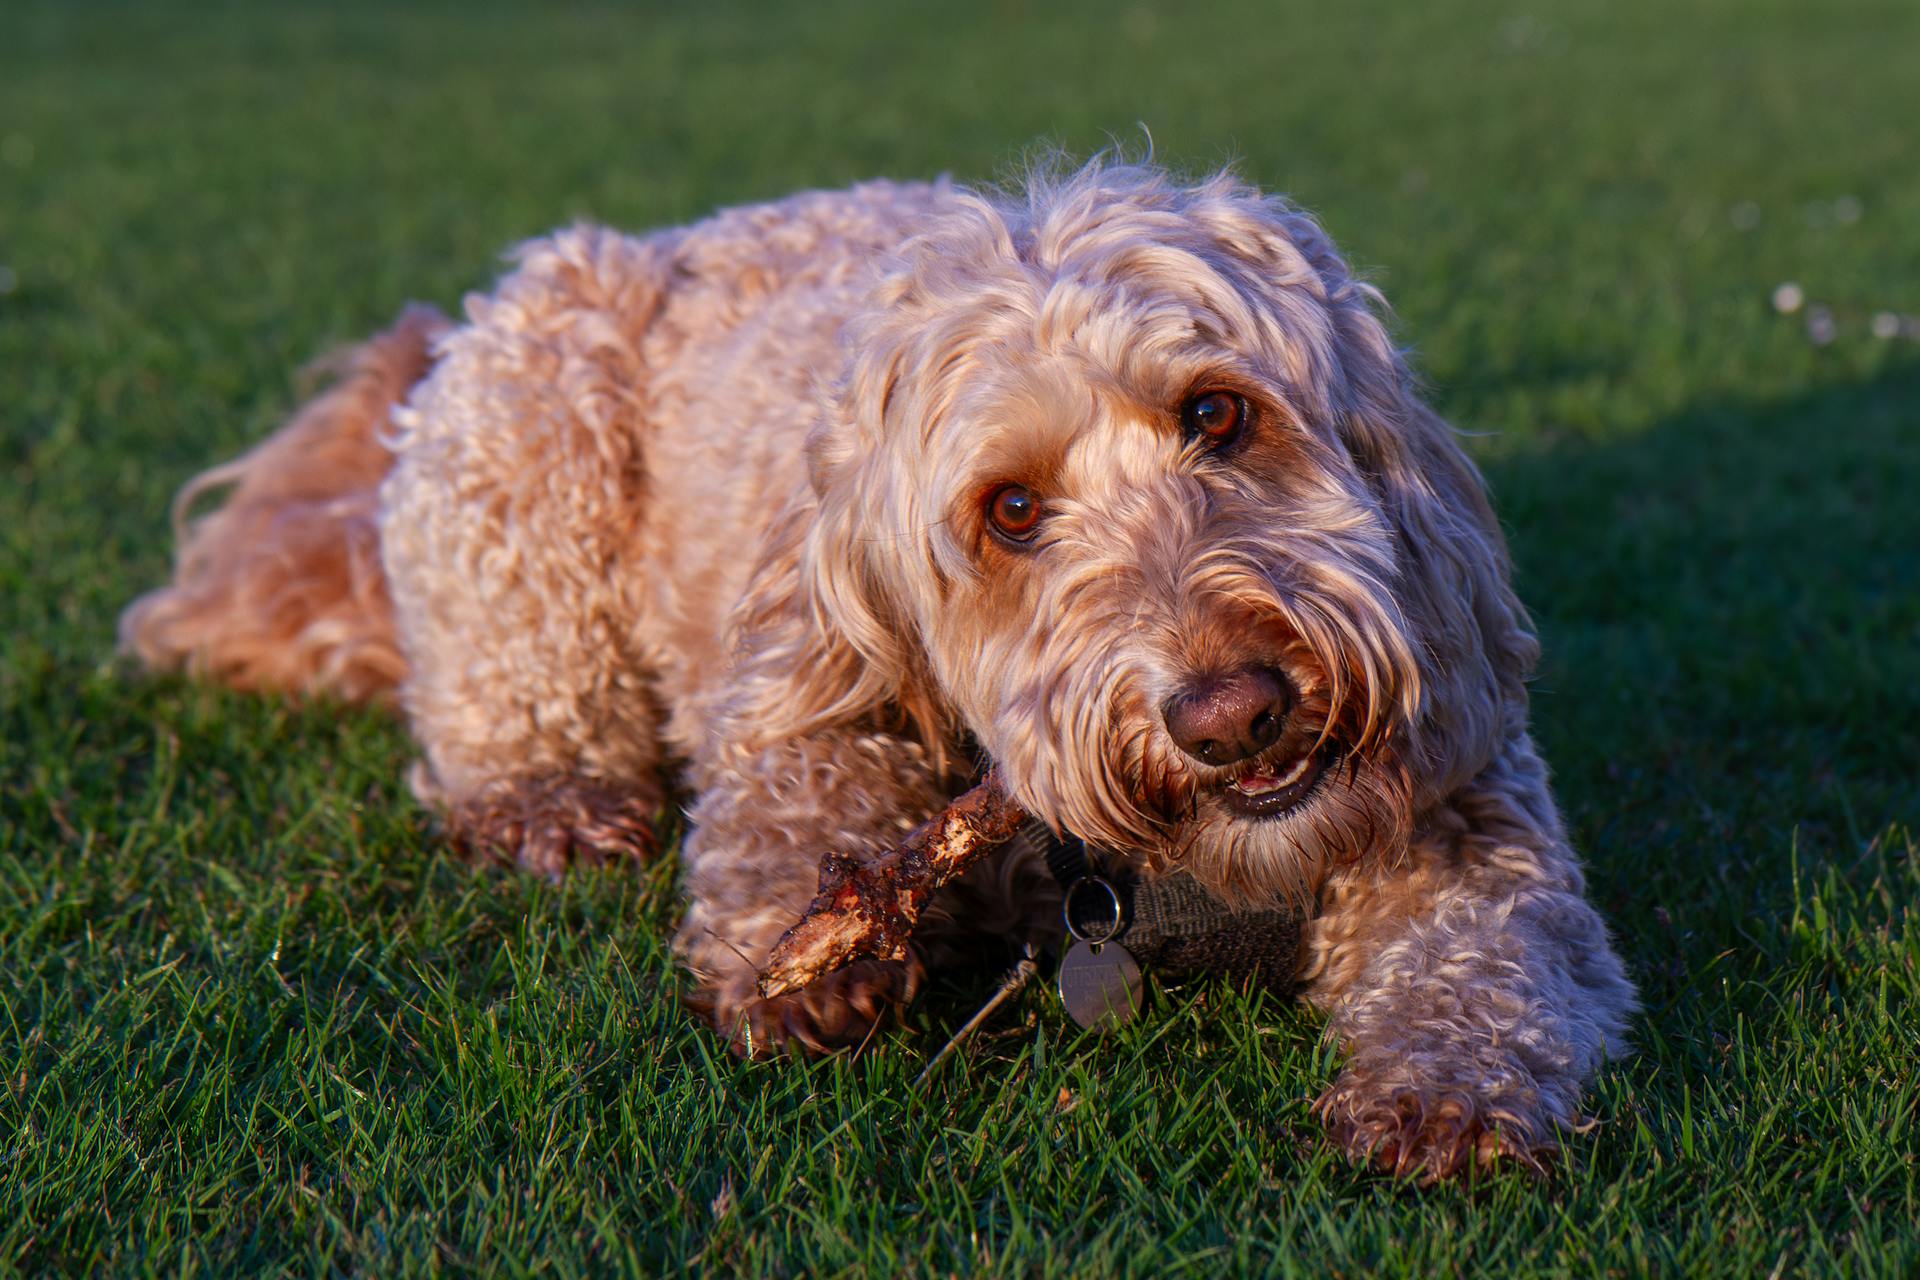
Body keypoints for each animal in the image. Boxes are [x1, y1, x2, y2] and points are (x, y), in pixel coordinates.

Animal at [120, 157, 1628, 1182]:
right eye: (1010, 510)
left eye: (1219, 411)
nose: (1232, 712)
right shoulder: (799, 670)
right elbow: (791, 792)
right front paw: (805, 947)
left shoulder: (1466, 783)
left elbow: (1491, 931)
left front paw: (1448, 1076)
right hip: (530, 403)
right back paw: (544, 794)